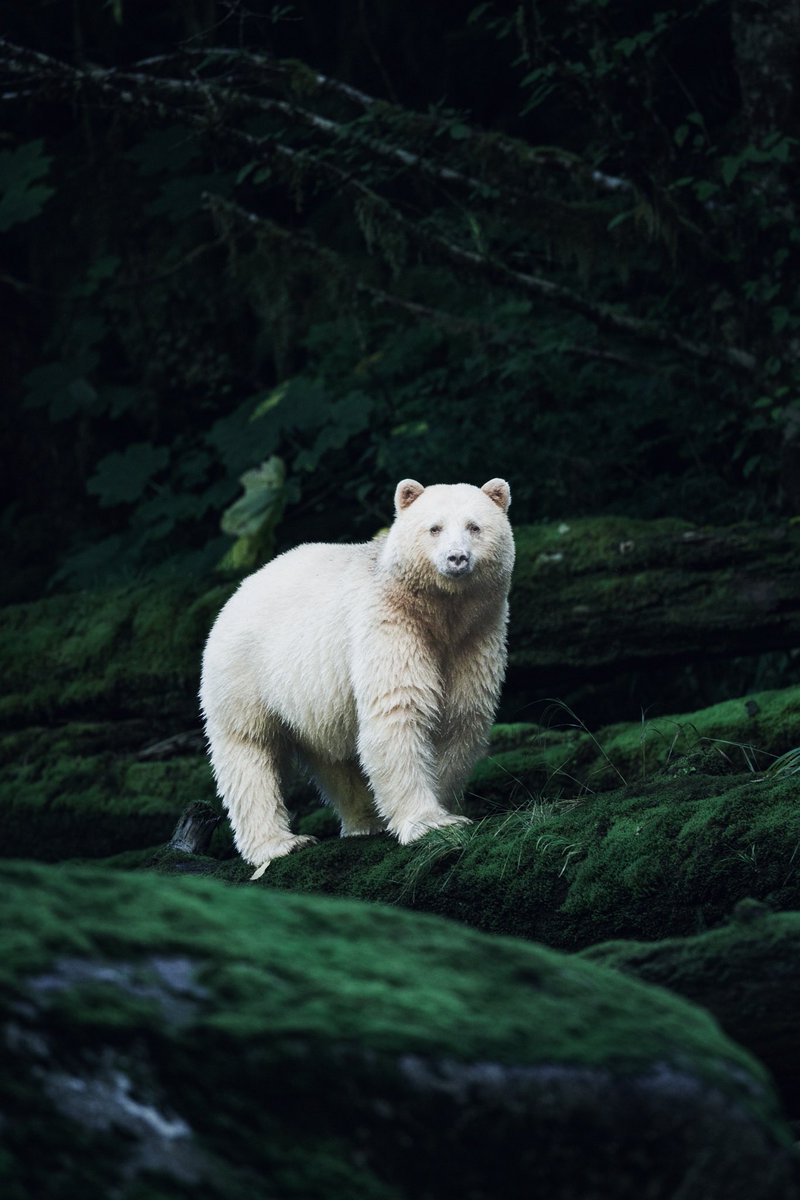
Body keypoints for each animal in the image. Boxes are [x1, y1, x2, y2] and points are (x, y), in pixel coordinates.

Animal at [200, 477, 514, 878]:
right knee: (249, 751)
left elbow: (460, 717)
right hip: (245, 672)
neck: (441, 614)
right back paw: (279, 844)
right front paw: (428, 822)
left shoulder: (476, 637)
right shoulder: (389, 625)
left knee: (336, 759)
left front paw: (445, 808)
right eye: (435, 527)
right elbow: (398, 714)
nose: (456, 558)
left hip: (318, 702)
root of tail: (239, 590)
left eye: (474, 526)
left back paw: (365, 821)